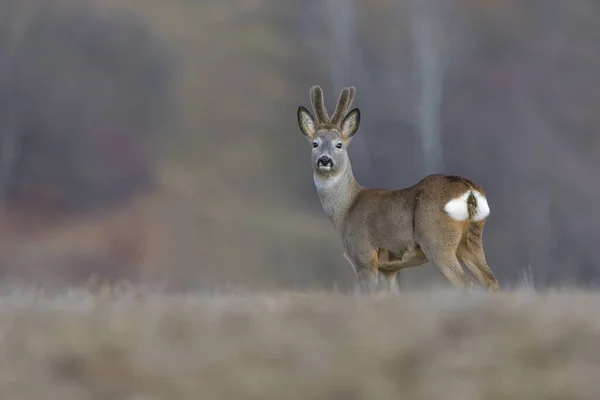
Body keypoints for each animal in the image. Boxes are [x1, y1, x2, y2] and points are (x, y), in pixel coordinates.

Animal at [296, 85, 496, 294]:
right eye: (315, 143)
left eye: (339, 144)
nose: (325, 160)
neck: (346, 210)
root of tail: (469, 190)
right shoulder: (390, 268)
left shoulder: (364, 257)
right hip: (471, 239)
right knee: (491, 281)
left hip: (437, 241)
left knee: (465, 283)